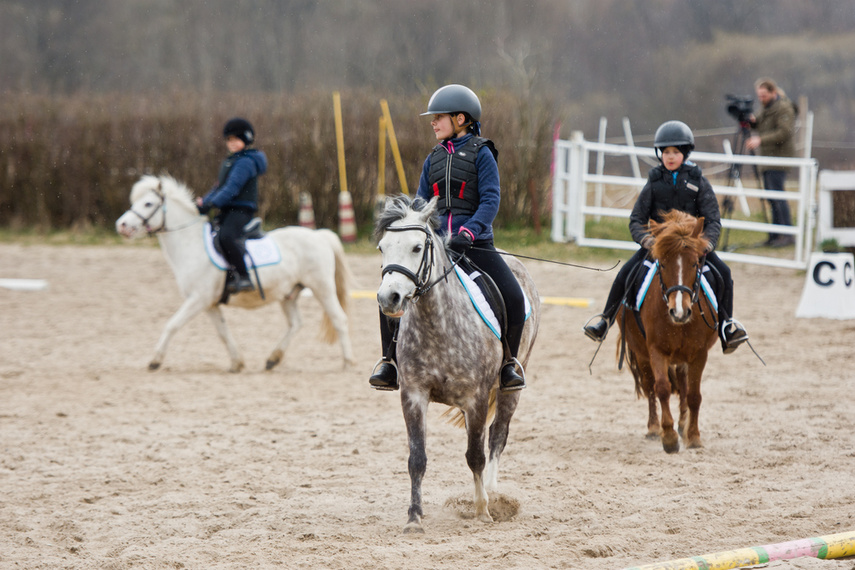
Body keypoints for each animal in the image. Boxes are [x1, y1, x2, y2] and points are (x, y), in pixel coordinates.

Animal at [116, 175, 354, 370]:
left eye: (148, 203)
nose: (122, 225)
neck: (191, 245)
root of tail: (319, 235)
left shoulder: (198, 299)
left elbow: (171, 325)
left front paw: (155, 361)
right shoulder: (209, 304)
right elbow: (223, 333)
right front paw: (236, 363)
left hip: (322, 288)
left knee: (339, 319)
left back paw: (347, 362)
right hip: (288, 294)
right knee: (296, 324)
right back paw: (272, 359)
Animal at [376, 195, 540, 532]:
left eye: (417, 247)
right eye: (382, 247)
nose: (389, 298)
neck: (436, 322)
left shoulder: (475, 398)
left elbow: (476, 454)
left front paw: (482, 510)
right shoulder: (413, 395)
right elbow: (417, 459)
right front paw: (414, 518)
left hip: (510, 388)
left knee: (497, 435)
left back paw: (491, 493)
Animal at [620, 209, 720, 452]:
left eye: (694, 263)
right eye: (662, 265)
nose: (679, 311)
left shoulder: (699, 353)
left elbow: (693, 395)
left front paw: (693, 436)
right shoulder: (656, 350)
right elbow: (662, 388)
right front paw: (669, 437)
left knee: (683, 386)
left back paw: (683, 424)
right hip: (642, 353)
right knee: (650, 386)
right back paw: (654, 428)